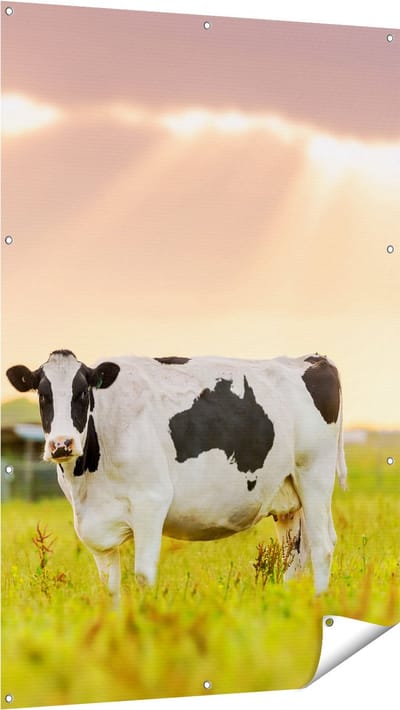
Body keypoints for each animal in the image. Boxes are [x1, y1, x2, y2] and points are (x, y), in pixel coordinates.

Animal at [6, 349, 347, 604]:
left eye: (81, 393)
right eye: (43, 396)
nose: (61, 444)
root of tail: (313, 358)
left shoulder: (150, 501)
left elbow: (143, 576)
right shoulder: (96, 527)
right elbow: (110, 587)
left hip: (314, 475)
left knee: (322, 546)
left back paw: (318, 604)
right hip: (288, 496)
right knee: (295, 555)